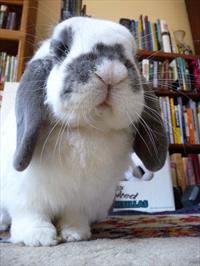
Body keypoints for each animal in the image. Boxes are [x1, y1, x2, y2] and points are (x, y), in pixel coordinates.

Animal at [0, 16, 167, 245]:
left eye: (133, 55)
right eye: (61, 48)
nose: (111, 72)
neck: (87, 129)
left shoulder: (81, 199)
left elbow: (73, 216)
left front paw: (75, 234)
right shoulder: (26, 196)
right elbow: (32, 214)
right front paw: (38, 238)